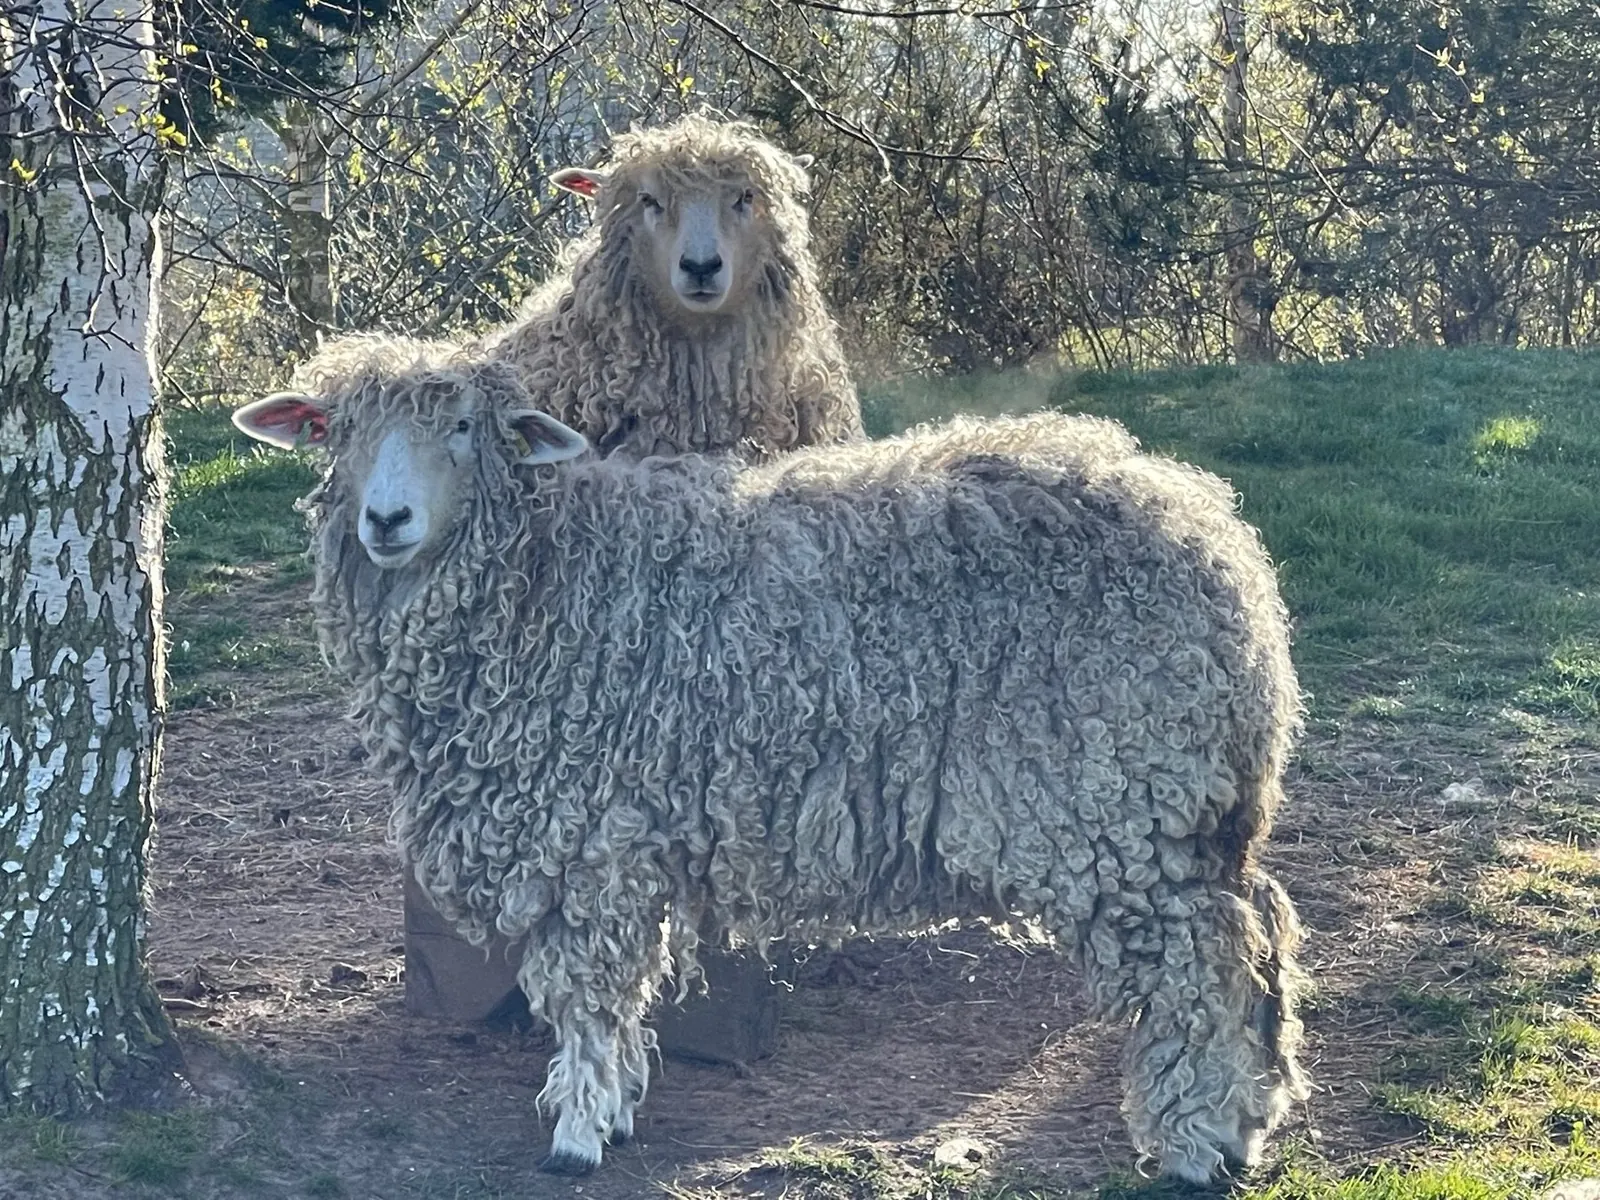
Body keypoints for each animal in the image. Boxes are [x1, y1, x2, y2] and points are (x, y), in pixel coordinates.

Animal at [233, 344, 1310, 1185]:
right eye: (336, 430)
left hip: (1121, 803)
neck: (551, 579)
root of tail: (1221, 544)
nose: (386, 521)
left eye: (462, 425)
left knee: (1199, 964)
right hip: (1178, 807)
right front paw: (612, 1108)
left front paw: (577, 1134)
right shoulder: (625, 833)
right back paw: (1246, 1122)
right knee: (1257, 935)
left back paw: (1193, 1146)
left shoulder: (592, 835)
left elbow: (588, 992)